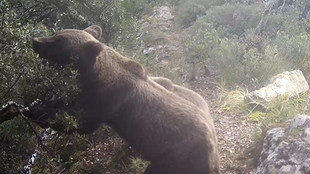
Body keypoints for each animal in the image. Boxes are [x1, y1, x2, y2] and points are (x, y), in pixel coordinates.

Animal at [32, 25, 219, 174]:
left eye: (58, 41)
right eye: (58, 32)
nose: (35, 41)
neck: (96, 75)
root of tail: (214, 156)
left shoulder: (106, 101)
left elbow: (82, 122)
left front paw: (37, 112)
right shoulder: (86, 92)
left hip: (177, 157)